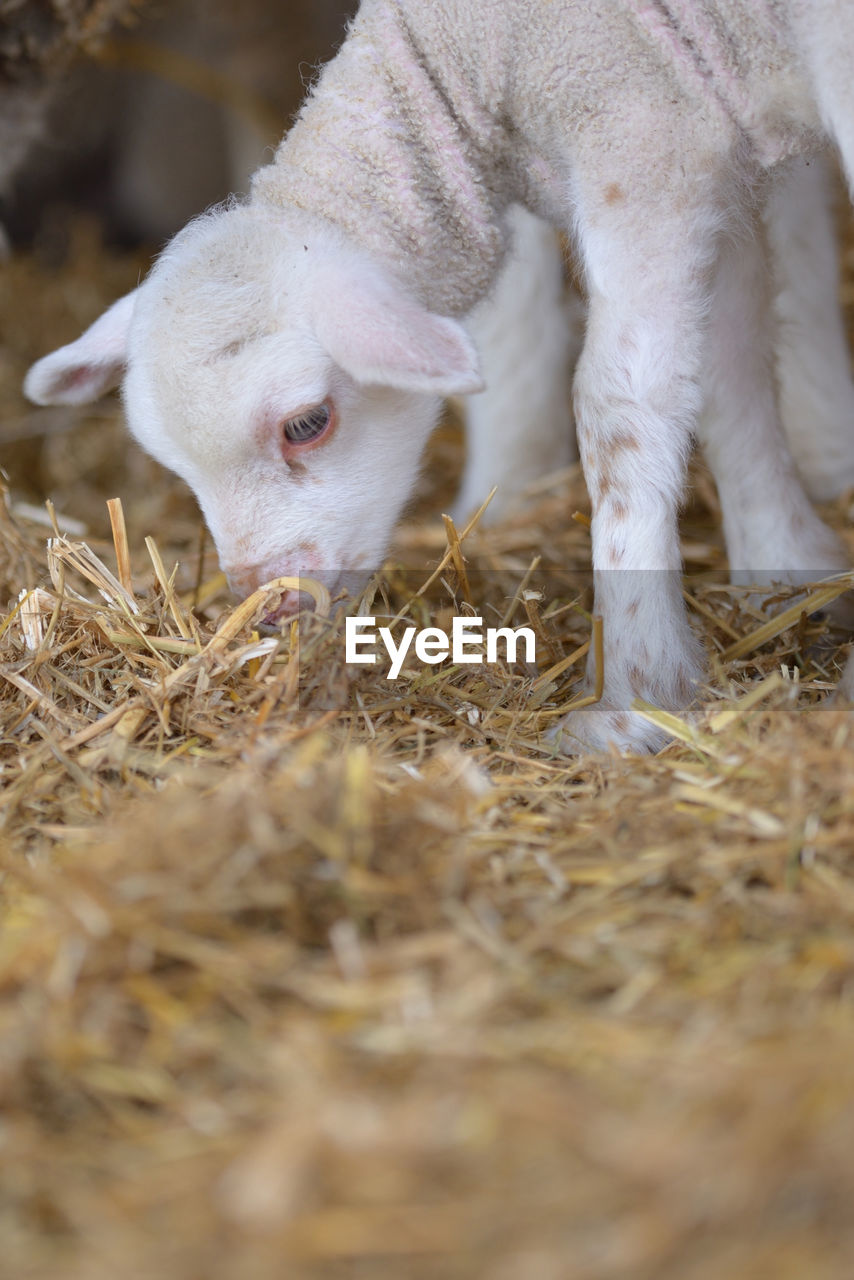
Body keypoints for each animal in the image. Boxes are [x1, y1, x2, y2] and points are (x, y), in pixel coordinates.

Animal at [21, 2, 854, 747]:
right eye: (175, 467)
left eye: (307, 423)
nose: (270, 608)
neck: (472, 46)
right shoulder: (710, 153)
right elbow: (730, 365)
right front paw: (785, 567)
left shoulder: (646, 145)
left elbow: (620, 407)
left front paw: (636, 698)